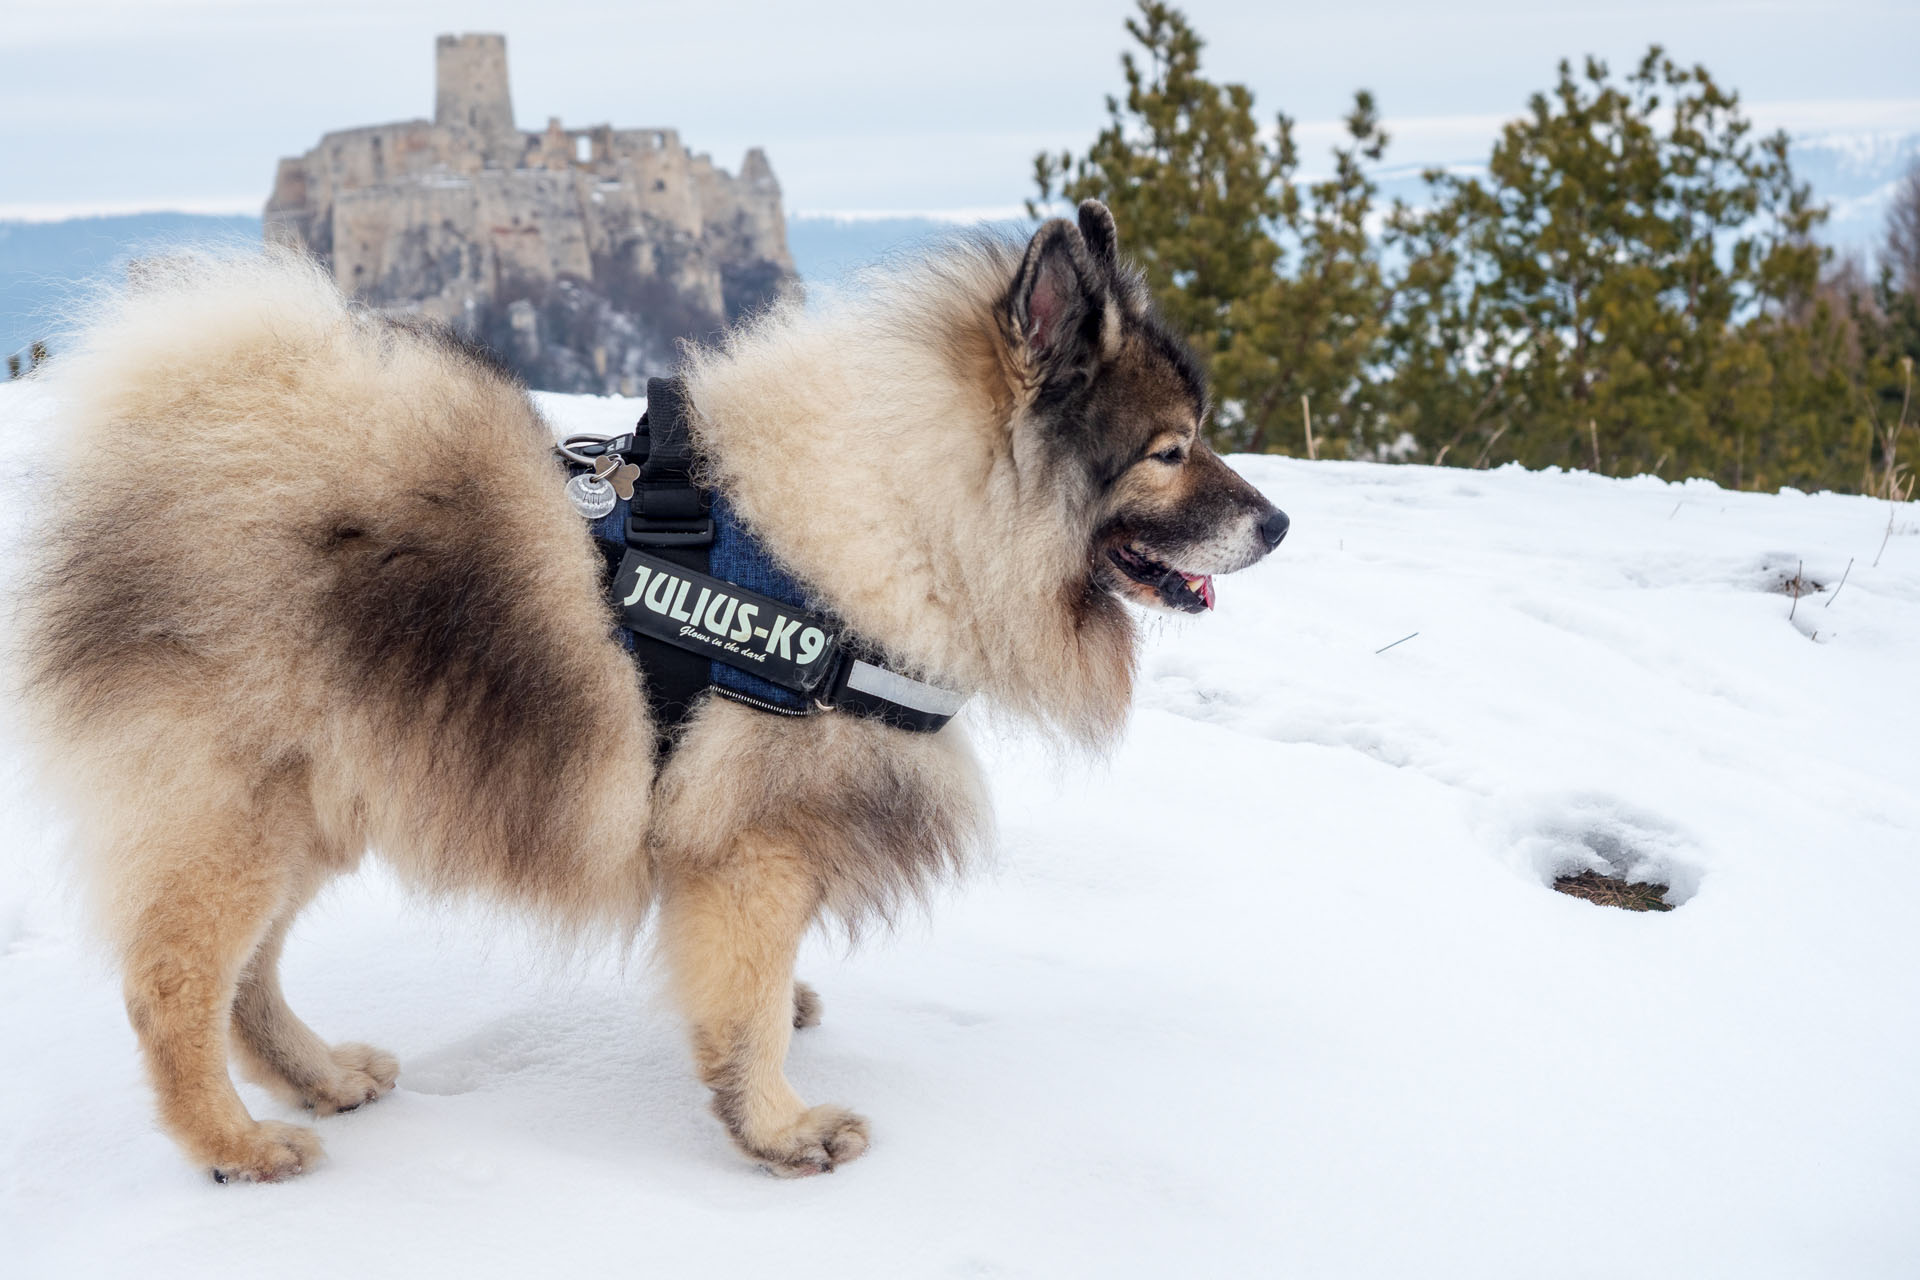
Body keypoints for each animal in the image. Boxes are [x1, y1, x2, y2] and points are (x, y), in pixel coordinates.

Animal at [15, 202, 1282, 1182]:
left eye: (1200, 436)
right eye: (1170, 451)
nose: (1276, 522)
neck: (902, 518)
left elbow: (753, 985)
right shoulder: (751, 844)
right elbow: (743, 1009)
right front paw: (779, 1129)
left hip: (316, 803)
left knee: (245, 979)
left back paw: (318, 1077)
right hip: (241, 813)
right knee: (174, 987)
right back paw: (234, 1144)